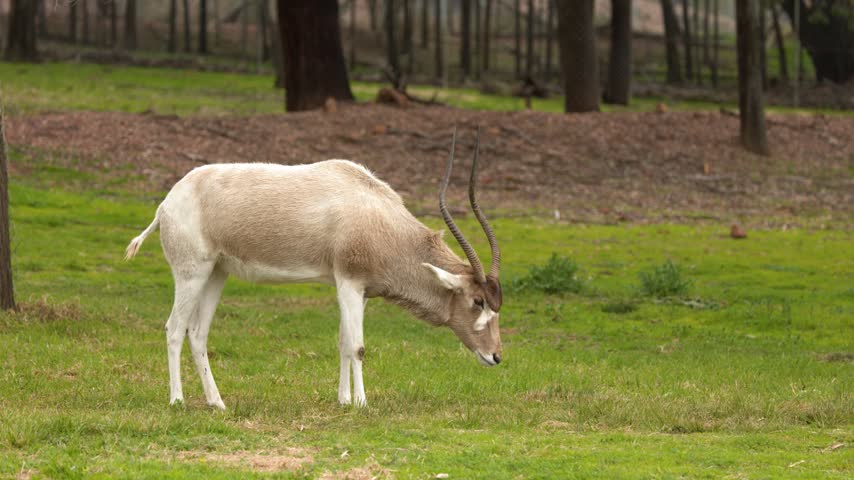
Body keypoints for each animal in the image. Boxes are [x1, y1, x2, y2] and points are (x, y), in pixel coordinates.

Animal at [124, 129, 502, 409]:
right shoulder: (348, 281)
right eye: (477, 301)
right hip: (192, 273)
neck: (380, 217)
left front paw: (344, 400)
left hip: (217, 273)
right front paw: (362, 403)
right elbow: (358, 346)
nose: (496, 356)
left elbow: (343, 340)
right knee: (175, 328)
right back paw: (177, 401)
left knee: (198, 332)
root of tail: (167, 202)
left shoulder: (359, 289)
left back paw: (217, 403)